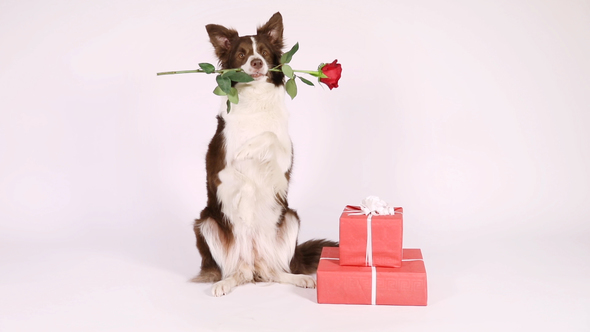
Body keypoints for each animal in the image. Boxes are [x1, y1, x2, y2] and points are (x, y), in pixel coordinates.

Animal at [193, 12, 338, 296]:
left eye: (263, 52)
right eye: (242, 54)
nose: (257, 62)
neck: (255, 100)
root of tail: (253, 262)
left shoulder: (284, 162)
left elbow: (271, 136)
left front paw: (251, 147)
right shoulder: (221, 171)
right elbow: (240, 171)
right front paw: (245, 154)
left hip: (289, 217)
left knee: (273, 271)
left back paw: (299, 279)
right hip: (206, 222)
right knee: (234, 272)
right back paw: (224, 283)